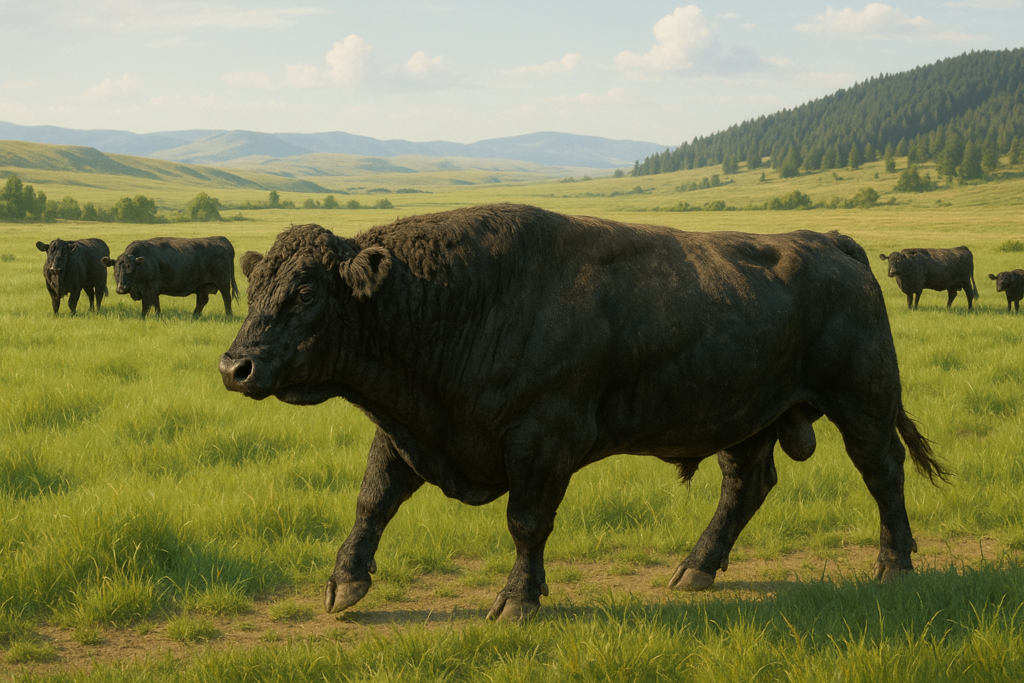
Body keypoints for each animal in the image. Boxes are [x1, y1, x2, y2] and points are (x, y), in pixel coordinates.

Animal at [101, 236, 238, 319]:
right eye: (116, 270)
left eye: (132, 270)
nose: (122, 288)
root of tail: (221, 239)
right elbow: (153, 303)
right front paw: (155, 317)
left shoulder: (151, 287)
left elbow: (148, 305)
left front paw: (147, 318)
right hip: (201, 286)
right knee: (202, 301)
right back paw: (194, 317)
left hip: (223, 283)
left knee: (226, 298)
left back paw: (228, 316)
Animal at [218, 204, 947, 621]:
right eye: (255, 287)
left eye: (306, 292)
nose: (235, 367)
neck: (459, 295)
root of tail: (833, 243)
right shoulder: (411, 432)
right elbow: (373, 502)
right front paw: (345, 584)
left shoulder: (543, 440)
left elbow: (526, 522)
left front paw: (516, 600)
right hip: (744, 418)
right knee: (746, 486)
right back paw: (694, 569)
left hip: (862, 402)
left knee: (883, 472)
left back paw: (894, 564)